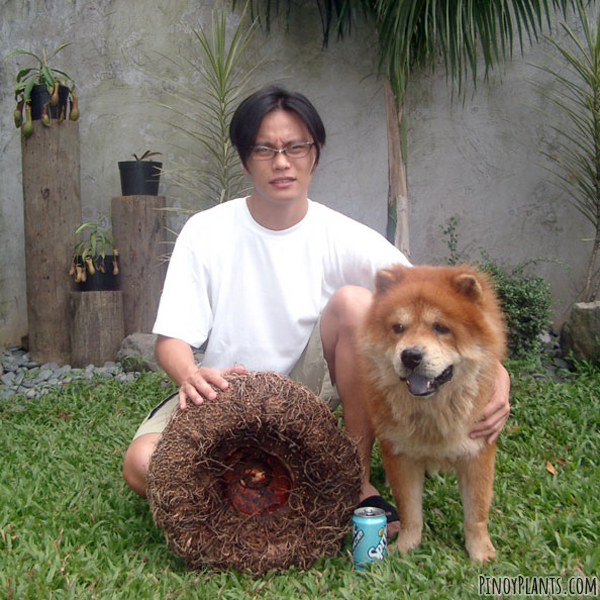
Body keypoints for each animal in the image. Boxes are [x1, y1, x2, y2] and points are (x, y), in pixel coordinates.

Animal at [356, 264, 506, 560]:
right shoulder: (400, 455)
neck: (433, 411)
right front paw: (405, 546)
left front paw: (482, 553)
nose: (410, 356)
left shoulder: (478, 453)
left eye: (441, 328)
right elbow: (410, 510)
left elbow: (476, 512)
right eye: (398, 328)